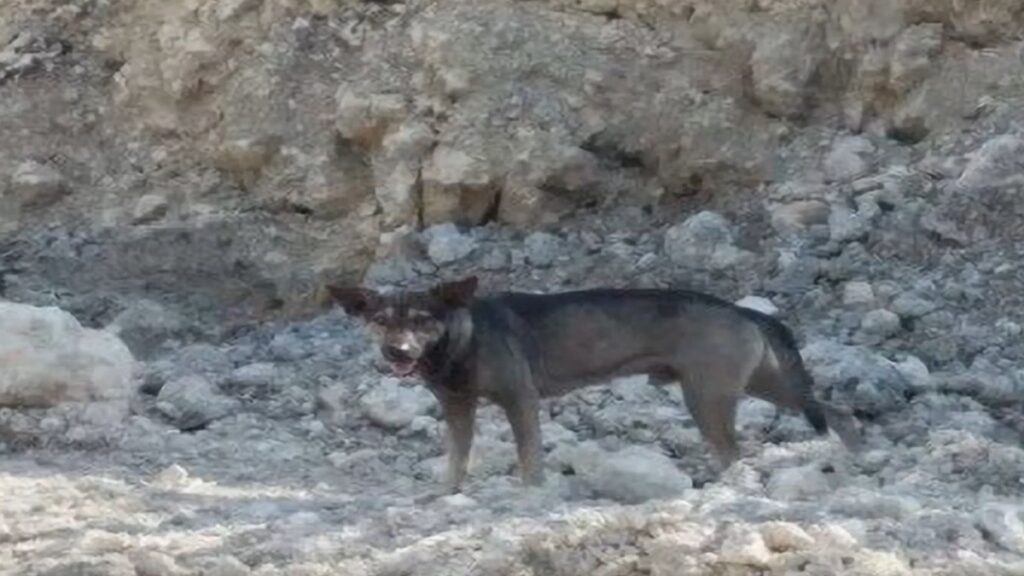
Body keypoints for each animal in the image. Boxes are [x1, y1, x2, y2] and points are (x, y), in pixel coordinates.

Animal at [327, 276, 864, 491]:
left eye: (422, 320)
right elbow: (456, 460)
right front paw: (446, 493)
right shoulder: (457, 408)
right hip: (765, 383)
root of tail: (742, 310)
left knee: (734, 451)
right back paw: (855, 456)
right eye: (380, 321)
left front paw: (532, 493)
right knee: (837, 410)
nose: (397, 353)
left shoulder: (519, 400)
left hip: (709, 397)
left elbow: (529, 459)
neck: (463, 339)